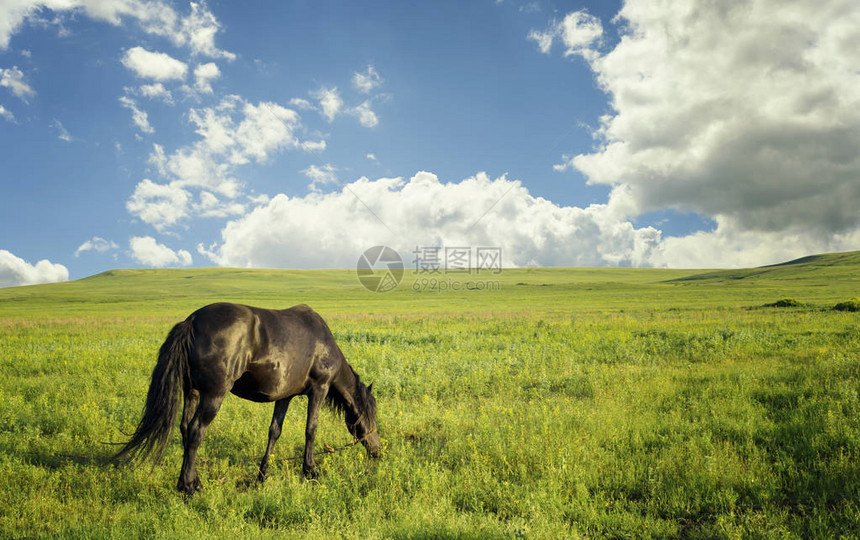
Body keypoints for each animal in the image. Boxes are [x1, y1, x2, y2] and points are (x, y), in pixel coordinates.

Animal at [112, 302, 382, 496]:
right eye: (372, 417)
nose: (379, 452)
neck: (324, 344)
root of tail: (192, 321)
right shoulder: (319, 388)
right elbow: (311, 430)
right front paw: (310, 471)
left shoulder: (285, 396)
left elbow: (274, 432)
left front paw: (262, 476)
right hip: (214, 395)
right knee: (197, 430)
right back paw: (188, 487)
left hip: (193, 392)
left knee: (186, 429)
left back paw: (194, 480)